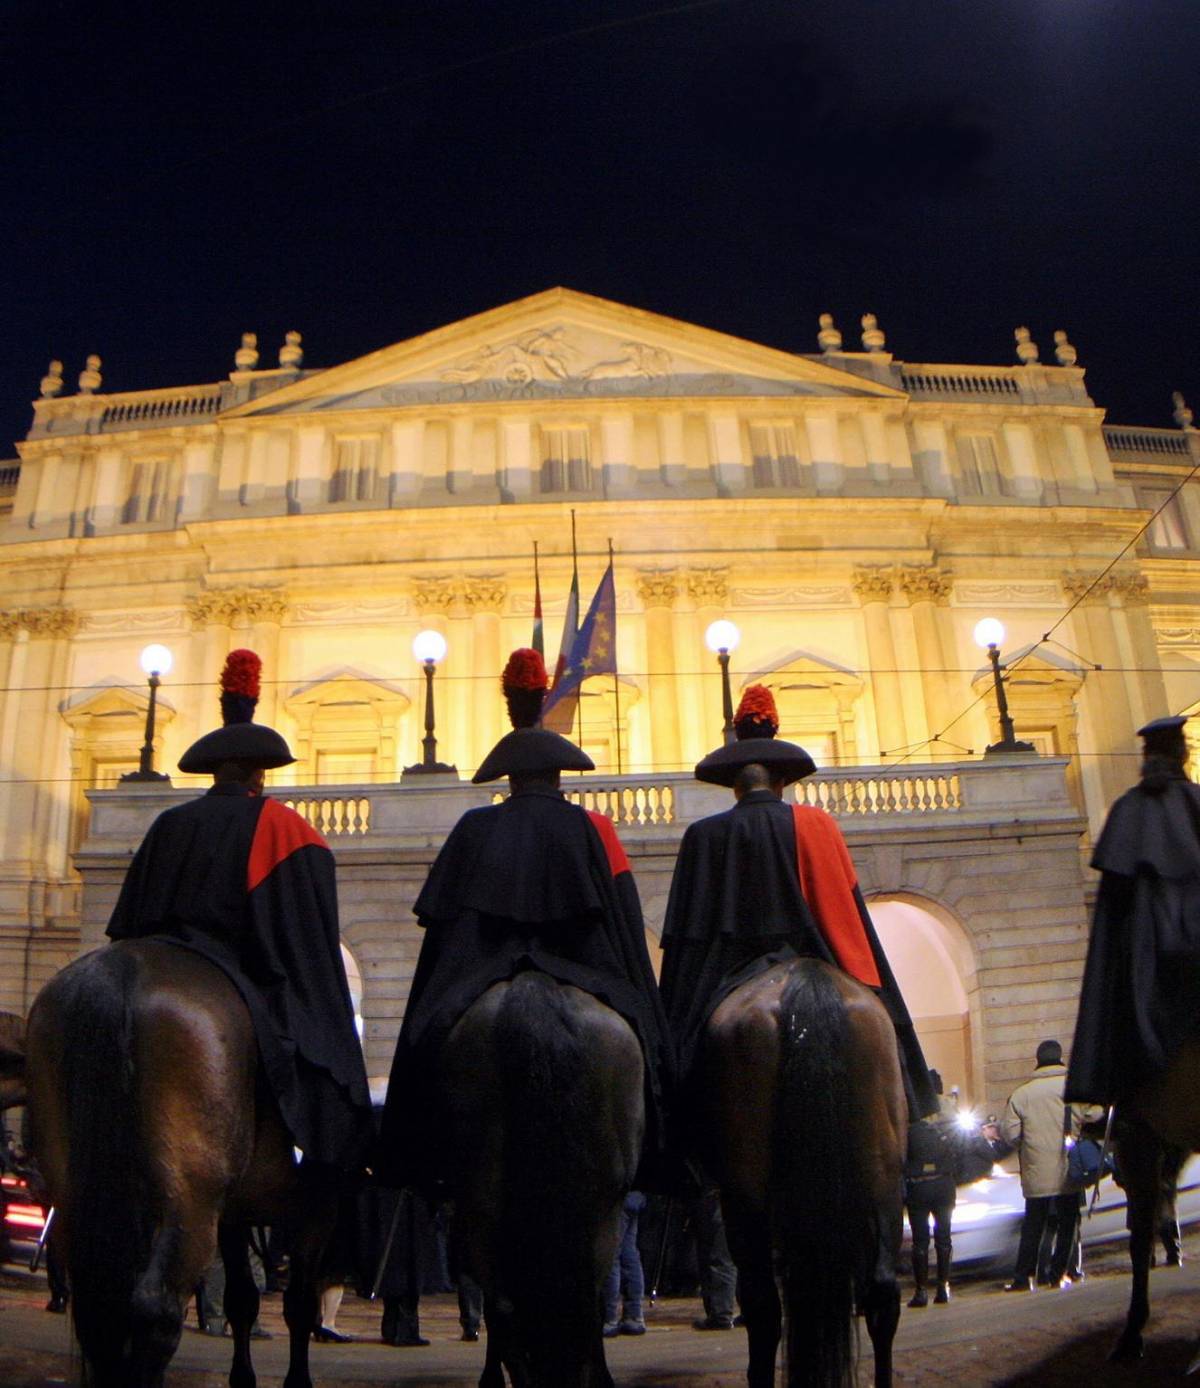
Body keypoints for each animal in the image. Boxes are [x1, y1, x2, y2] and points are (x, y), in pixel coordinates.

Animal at [24, 938, 341, 1382]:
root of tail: (123, 969)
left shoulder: (236, 1213)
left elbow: (243, 1300)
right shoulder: (317, 1207)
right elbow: (297, 1305)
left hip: (77, 1193)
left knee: (99, 1308)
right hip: (190, 1202)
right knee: (156, 1308)